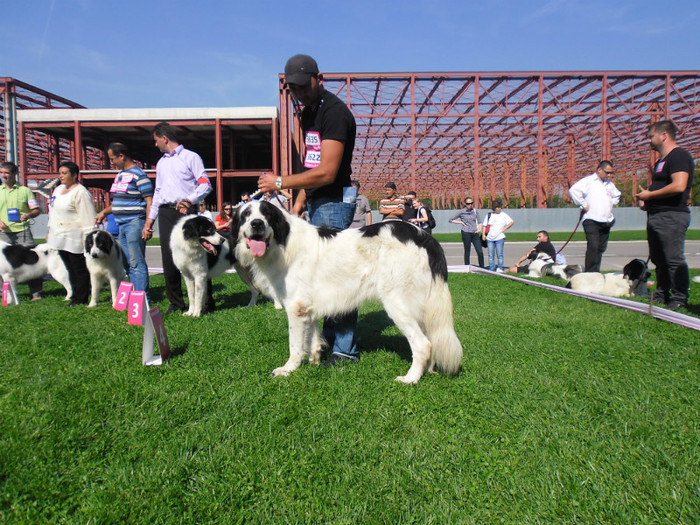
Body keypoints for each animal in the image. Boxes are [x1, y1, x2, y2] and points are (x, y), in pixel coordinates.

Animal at [232, 199, 464, 382]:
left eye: (267, 214)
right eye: (246, 215)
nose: (257, 224)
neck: (283, 242)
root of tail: (423, 236)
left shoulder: (296, 308)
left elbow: (295, 345)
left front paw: (288, 369)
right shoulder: (309, 307)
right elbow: (313, 338)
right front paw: (314, 361)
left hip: (397, 302)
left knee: (423, 344)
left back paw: (411, 379)